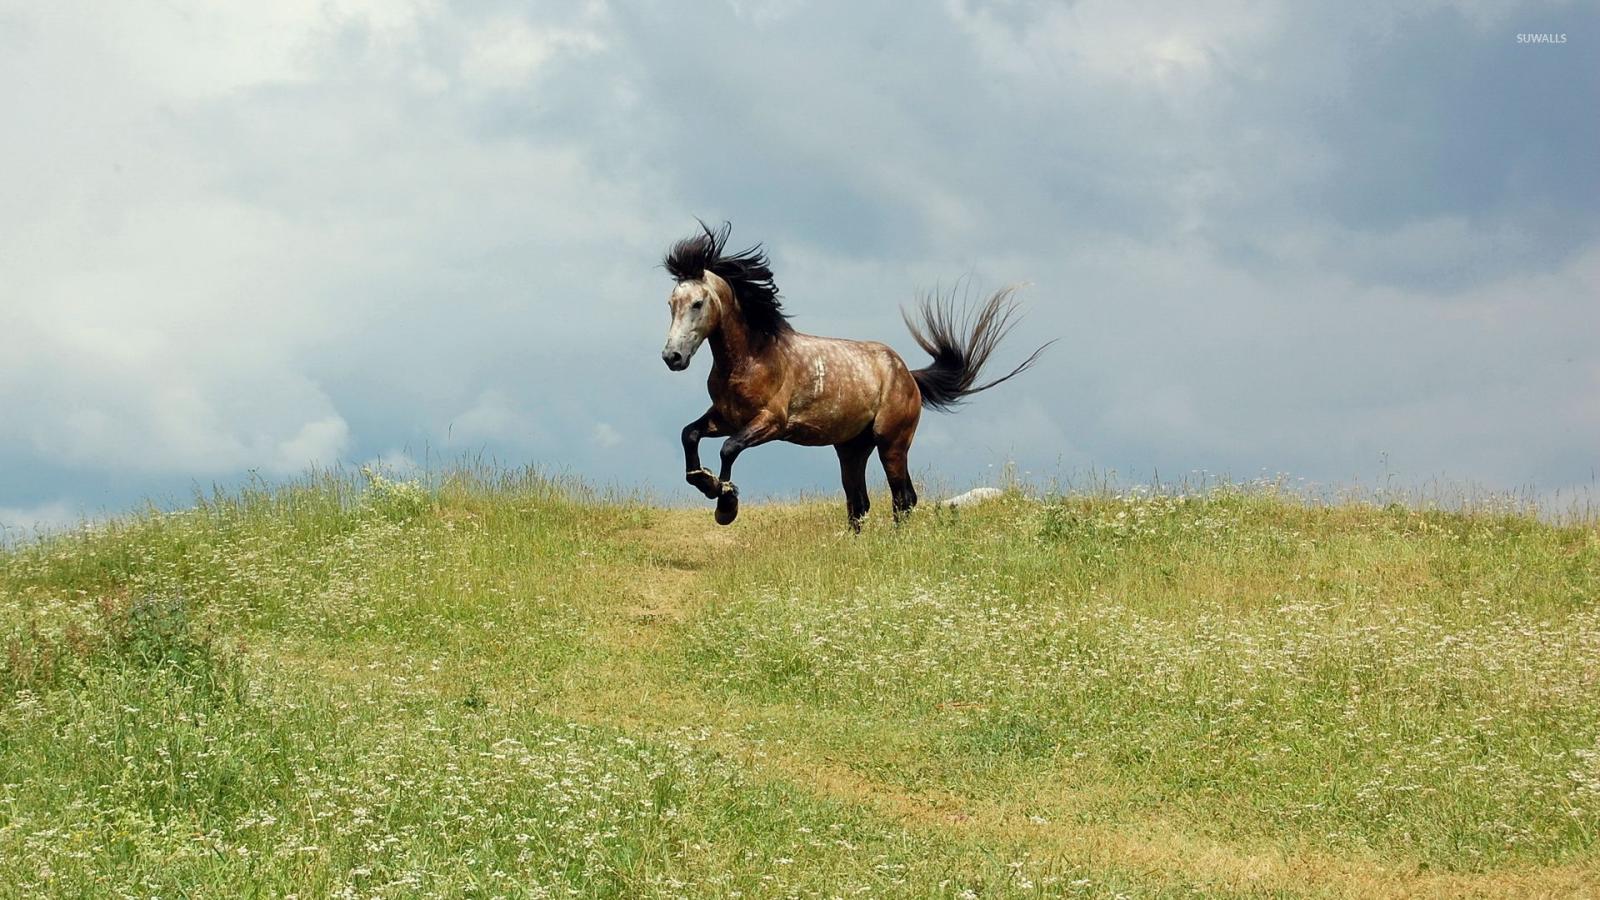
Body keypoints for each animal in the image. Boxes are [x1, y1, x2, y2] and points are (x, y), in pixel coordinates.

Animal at [660, 222, 1050, 530]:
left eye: (697, 303)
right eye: (670, 303)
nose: (672, 357)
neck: (753, 357)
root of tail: (907, 374)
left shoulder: (770, 422)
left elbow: (729, 448)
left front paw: (725, 503)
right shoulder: (726, 416)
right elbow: (689, 434)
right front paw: (704, 482)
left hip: (891, 442)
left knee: (902, 498)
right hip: (851, 448)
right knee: (859, 502)